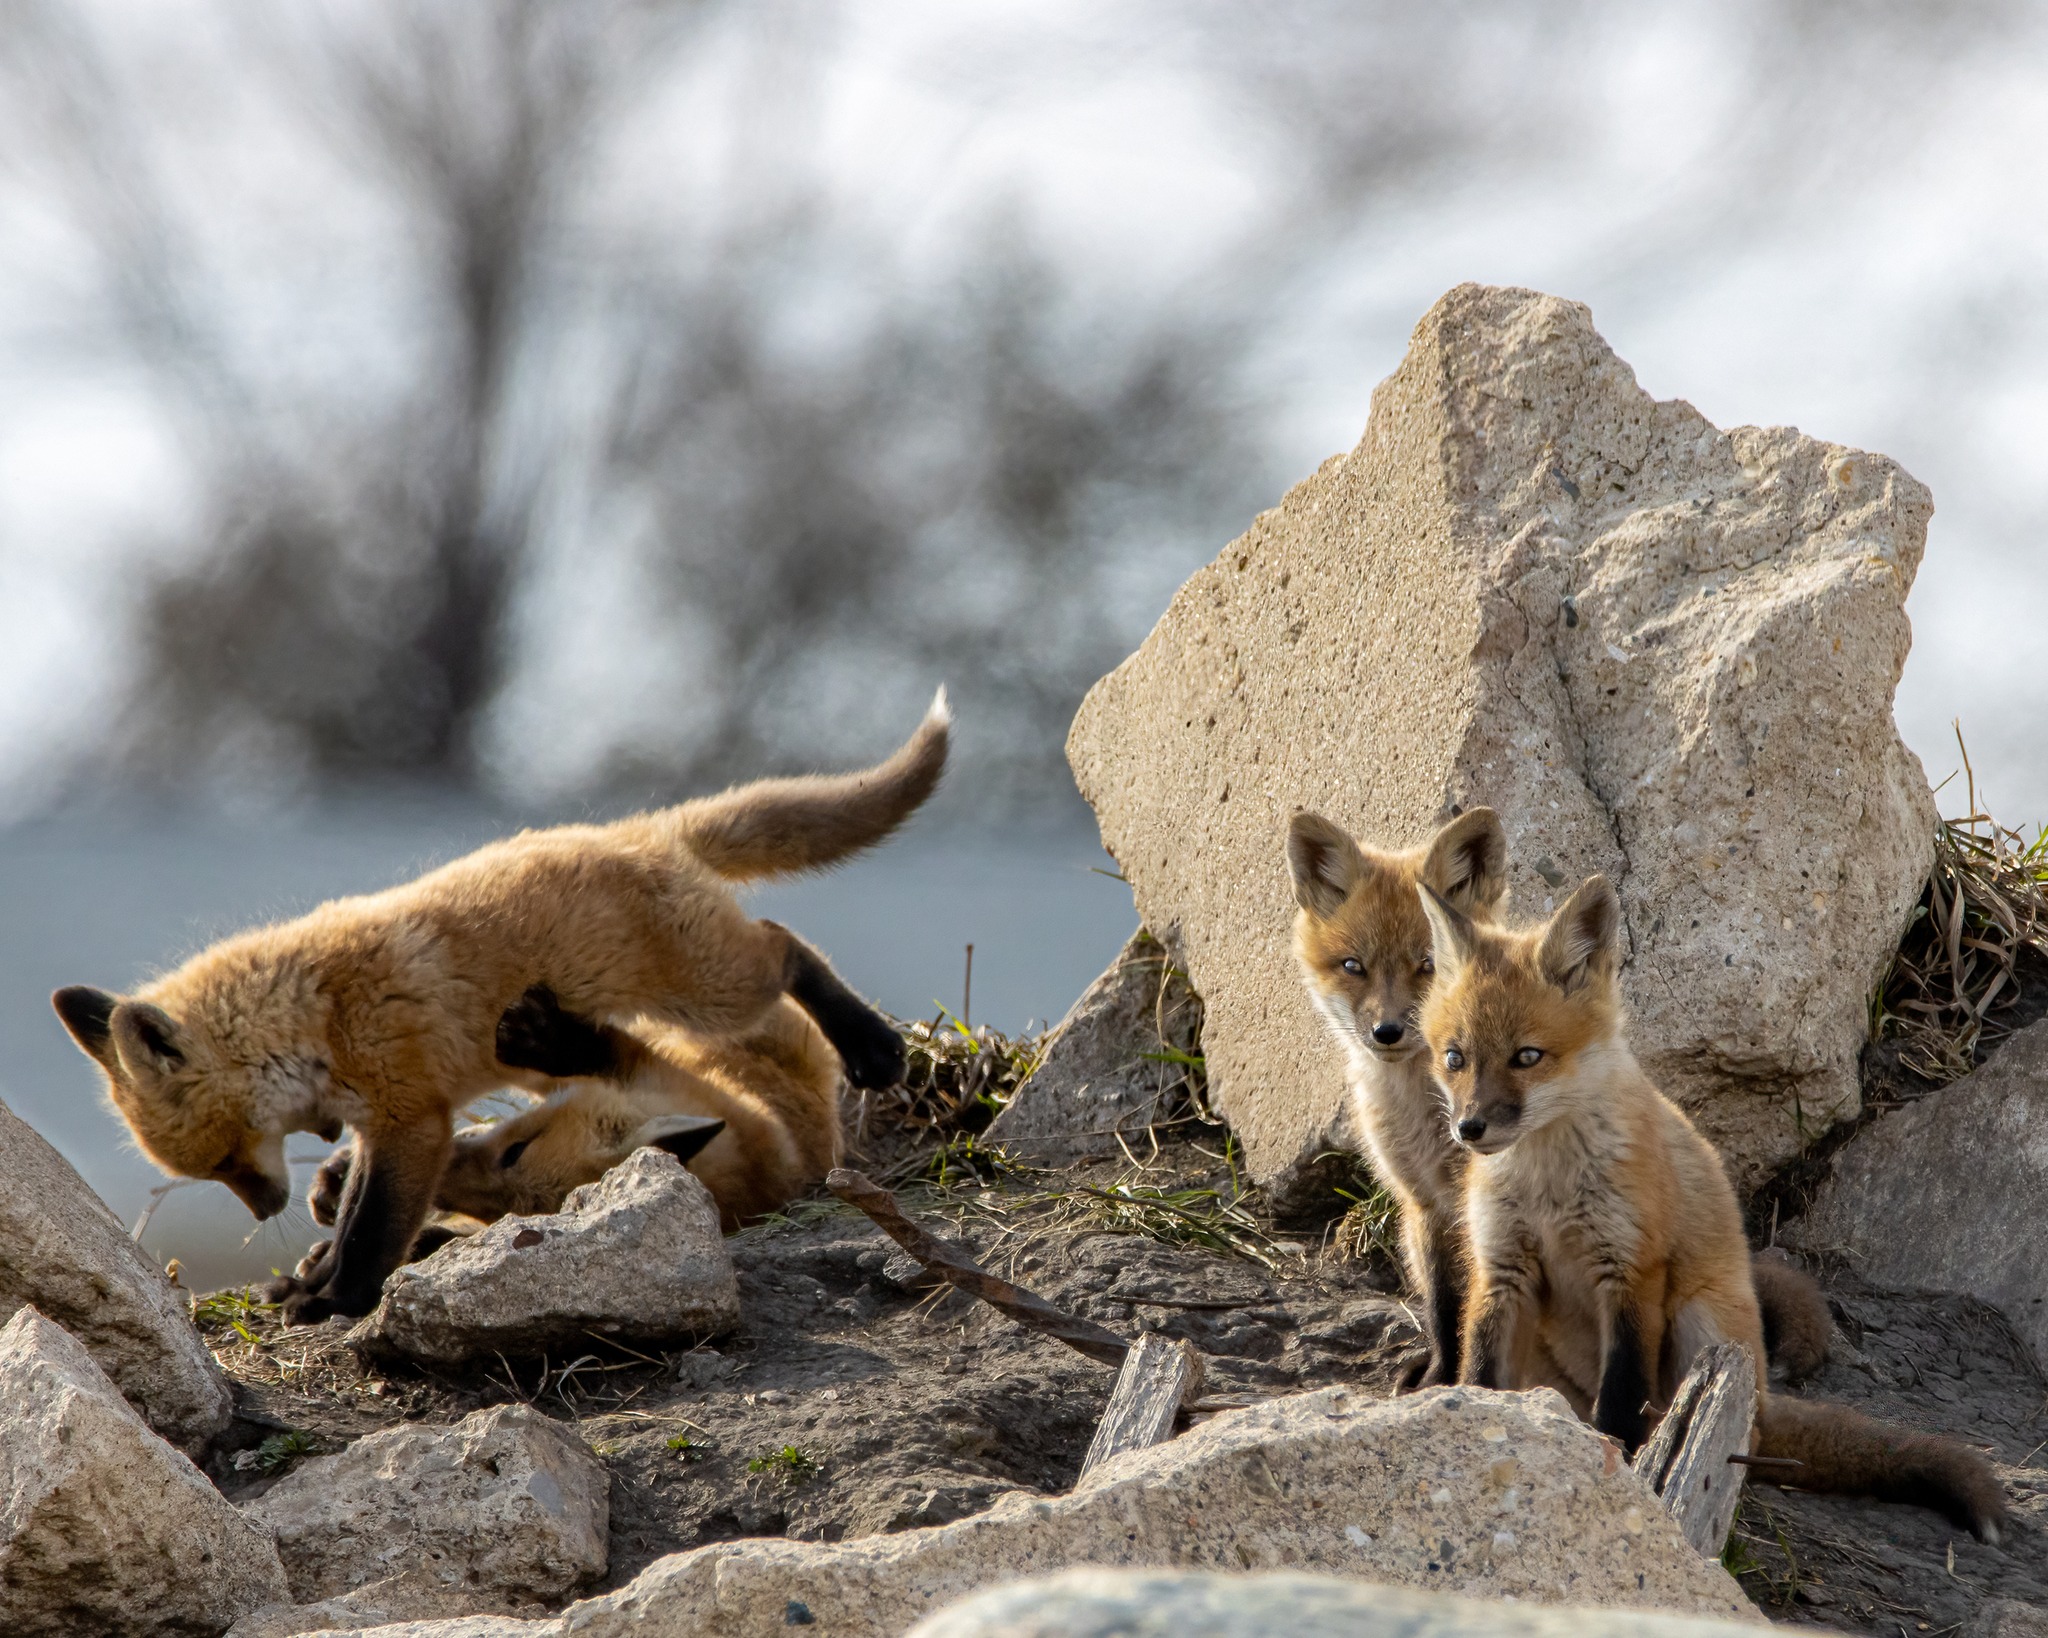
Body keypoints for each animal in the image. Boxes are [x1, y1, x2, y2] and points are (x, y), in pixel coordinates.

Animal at [1415, 872, 2007, 1542]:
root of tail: (1764, 1398)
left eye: (1527, 1057)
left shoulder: (1631, 1272)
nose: (1470, 1128)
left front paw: (1621, 1468)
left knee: (1713, 1424)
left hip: (1702, 1324)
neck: (1550, 1189)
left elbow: (1621, 1396)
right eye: (1455, 1058)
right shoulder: (1502, 1271)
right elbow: (1480, 1374)